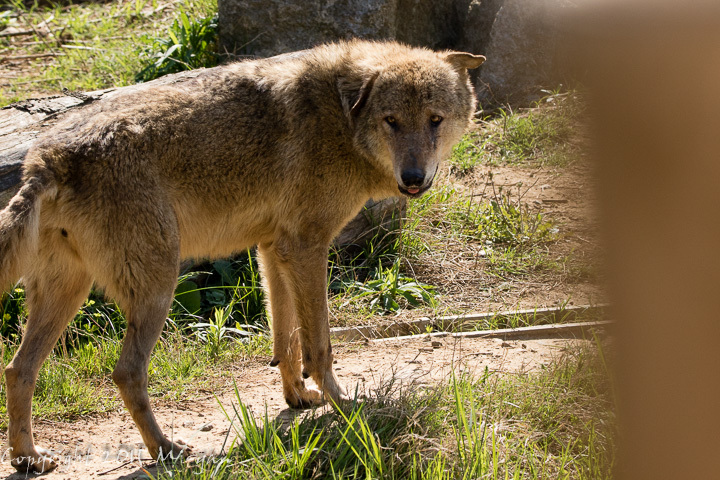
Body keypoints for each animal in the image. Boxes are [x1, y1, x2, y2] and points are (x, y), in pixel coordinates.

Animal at [1, 38, 484, 472]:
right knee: (125, 373)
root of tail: (46, 159)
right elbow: (319, 346)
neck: (342, 117)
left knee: (18, 369)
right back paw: (166, 450)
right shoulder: (307, 246)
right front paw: (344, 405)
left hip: (70, 294)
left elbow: (285, 337)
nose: (414, 178)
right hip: (157, 288)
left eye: (434, 120)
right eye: (391, 121)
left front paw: (297, 397)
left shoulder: (274, 249)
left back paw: (29, 458)